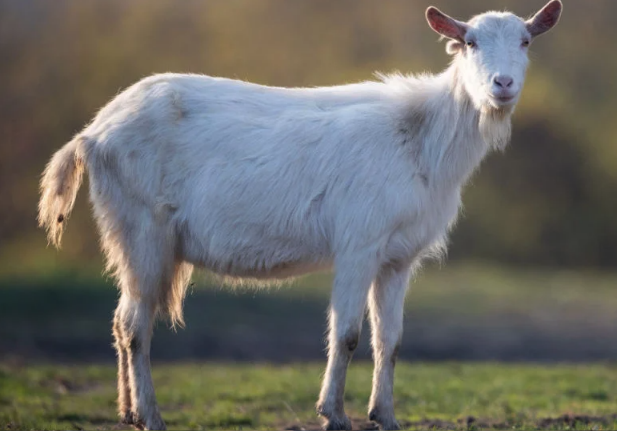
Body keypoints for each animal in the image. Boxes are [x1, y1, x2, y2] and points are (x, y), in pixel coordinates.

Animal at [37, 1, 560, 430]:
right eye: (470, 42)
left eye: (526, 41)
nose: (503, 84)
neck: (422, 139)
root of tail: (92, 134)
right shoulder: (358, 243)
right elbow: (347, 334)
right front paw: (334, 415)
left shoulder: (398, 258)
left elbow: (389, 340)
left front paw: (385, 417)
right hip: (141, 227)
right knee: (134, 325)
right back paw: (150, 416)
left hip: (128, 235)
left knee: (121, 320)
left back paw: (127, 412)